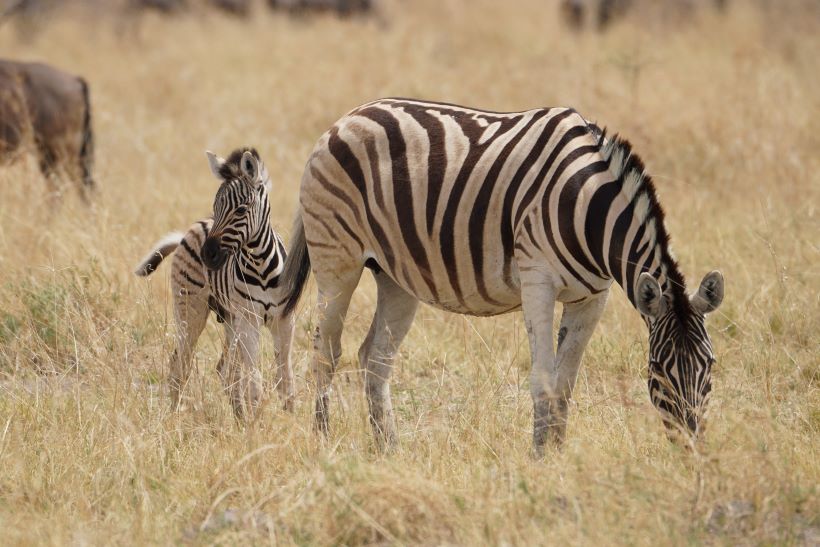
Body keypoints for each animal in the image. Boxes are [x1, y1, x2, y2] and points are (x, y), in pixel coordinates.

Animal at [135, 147, 294, 420]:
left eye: (241, 210)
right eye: (215, 205)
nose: (208, 255)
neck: (262, 267)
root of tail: (189, 231)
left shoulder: (283, 321)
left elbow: (285, 380)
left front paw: (294, 423)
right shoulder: (249, 320)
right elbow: (254, 382)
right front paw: (258, 426)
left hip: (230, 319)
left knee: (225, 371)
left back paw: (239, 419)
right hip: (192, 310)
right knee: (181, 363)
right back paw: (174, 417)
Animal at [278, 98, 725, 454]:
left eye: (710, 365)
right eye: (658, 370)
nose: (692, 450)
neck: (589, 206)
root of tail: (349, 116)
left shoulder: (593, 296)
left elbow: (565, 384)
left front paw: (558, 456)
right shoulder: (537, 280)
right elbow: (544, 379)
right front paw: (540, 459)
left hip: (395, 276)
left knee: (374, 358)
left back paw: (389, 450)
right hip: (337, 260)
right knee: (326, 352)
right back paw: (322, 443)